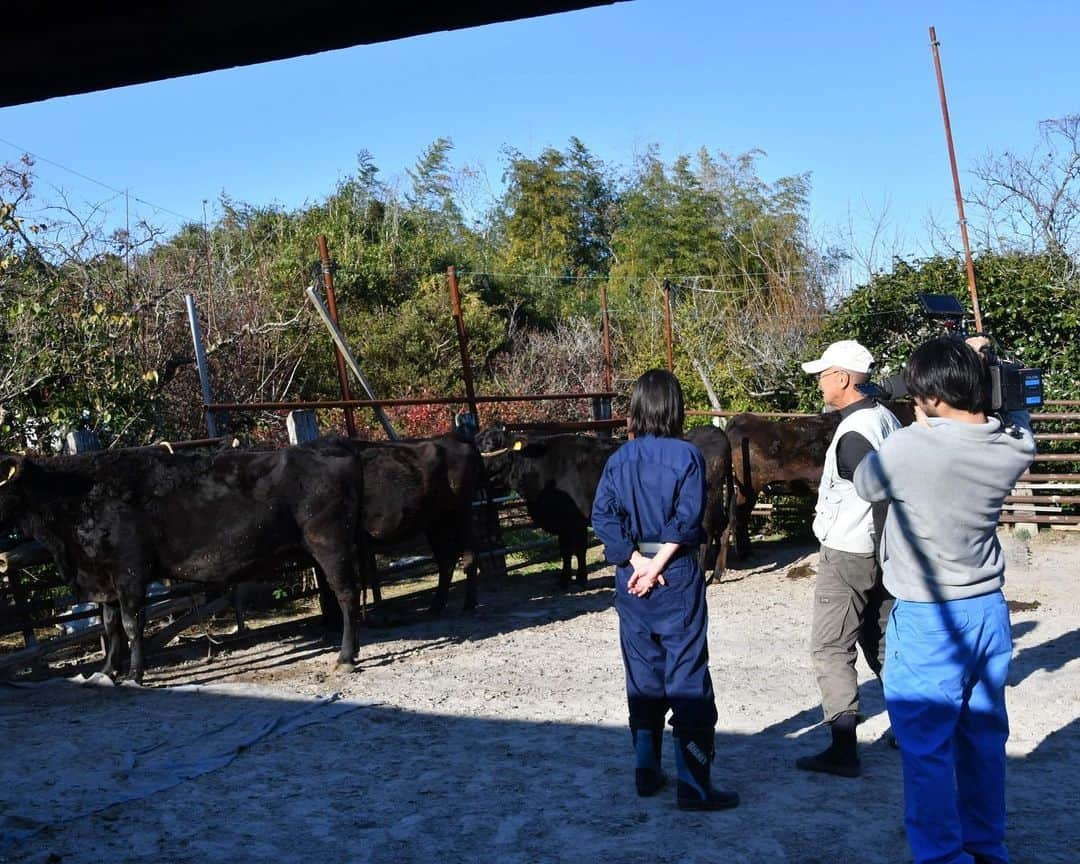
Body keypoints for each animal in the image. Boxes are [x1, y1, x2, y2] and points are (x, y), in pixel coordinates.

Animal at [0, 442, 365, 686]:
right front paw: (106, 672)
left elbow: (131, 624)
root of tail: (330, 447)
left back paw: (345, 657)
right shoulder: (104, 576)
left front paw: (135, 674)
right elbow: (109, 625)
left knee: (347, 594)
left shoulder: (130, 571)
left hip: (329, 543)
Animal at [477, 425, 622, 587]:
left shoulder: (576, 520)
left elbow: (579, 549)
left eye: (489, 444)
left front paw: (581, 579)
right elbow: (564, 550)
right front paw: (564, 579)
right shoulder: (562, 523)